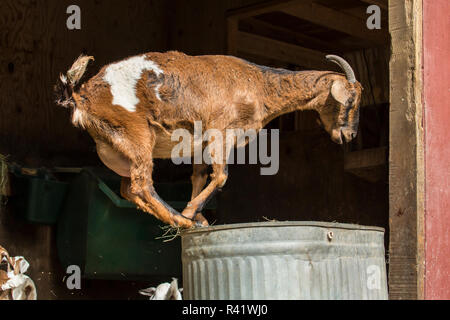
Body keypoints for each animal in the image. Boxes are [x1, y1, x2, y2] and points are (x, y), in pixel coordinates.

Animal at [54, 51, 362, 229]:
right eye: (351, 100)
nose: (349, 134)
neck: (258, 85)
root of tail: (82, 95)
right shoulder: (221, 132)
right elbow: (222, 176)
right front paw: (191, 212)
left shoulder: (201, 145)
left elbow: (199, 176)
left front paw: (200, 215)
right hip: (137, 134)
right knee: (141, 185)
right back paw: (182, 220)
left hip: (120, 146)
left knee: (128, 189)